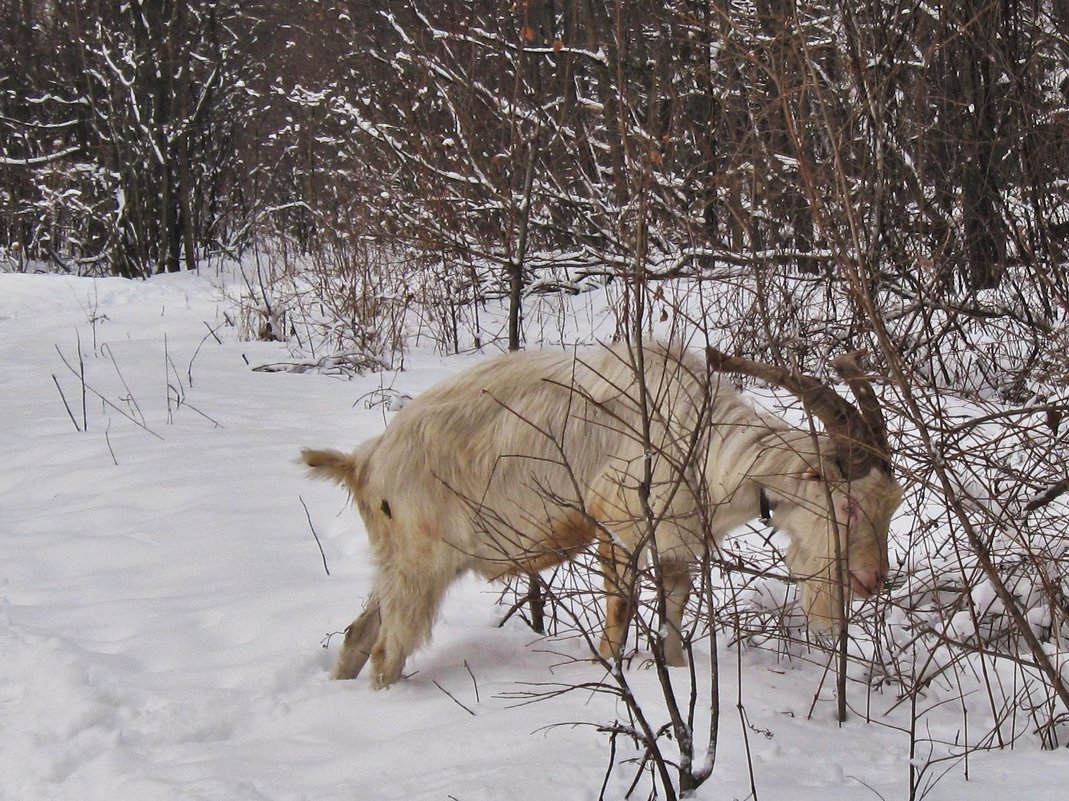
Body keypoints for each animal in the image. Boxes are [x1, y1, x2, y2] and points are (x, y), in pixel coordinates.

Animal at [303, 340, 902, 684]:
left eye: (890, 504)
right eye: (847, 503)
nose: (873, 581)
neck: (698, 439)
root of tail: (364, 462)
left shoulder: (675, 538)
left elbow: (675, 602)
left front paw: (674, 668)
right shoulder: (618, 525)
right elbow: (621, 606)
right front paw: (607, 668)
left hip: (398, 567)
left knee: (358, 637)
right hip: (419, 570)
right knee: (386, 652)